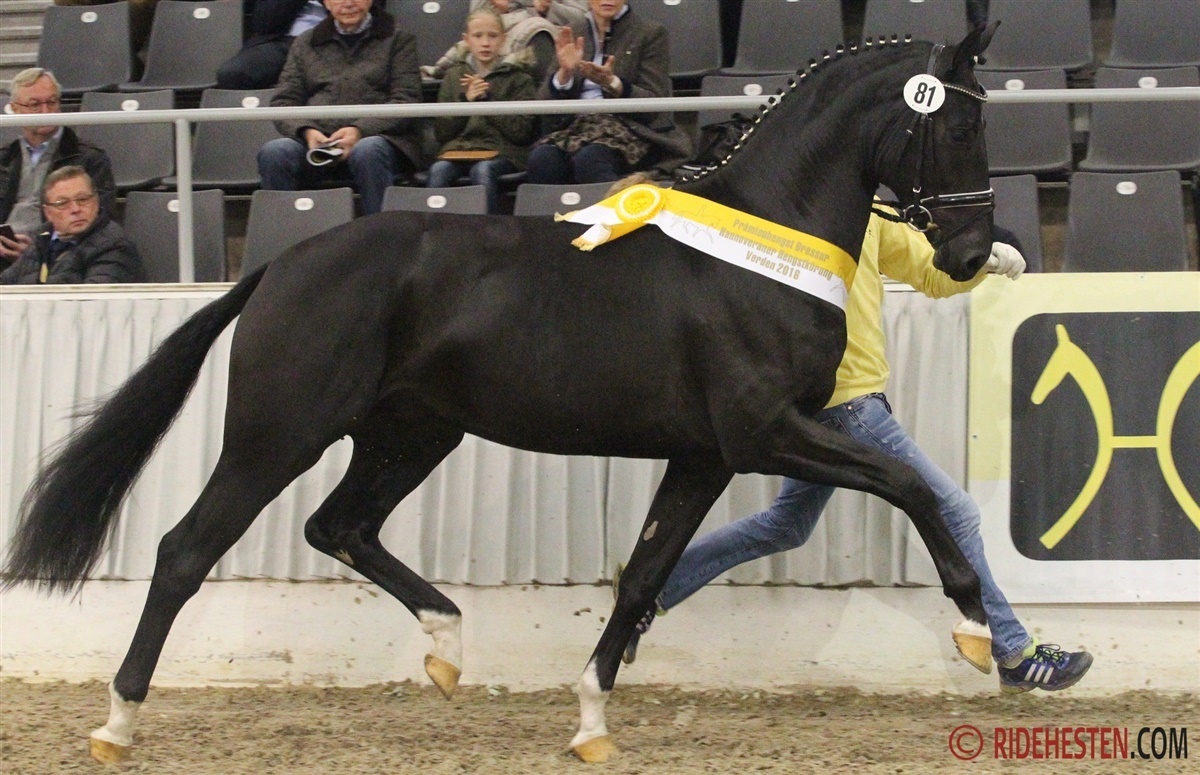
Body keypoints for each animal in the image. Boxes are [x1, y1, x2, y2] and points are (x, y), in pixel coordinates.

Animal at [4, 25, 998, 764]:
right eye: (955, 130)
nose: (971, 254)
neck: (762, 249)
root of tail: (282, 263)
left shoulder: (705, 453)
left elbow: (644, 572)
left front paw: (591, 719)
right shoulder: (762, 432)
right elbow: (910, 484)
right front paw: (976, 630)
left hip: (410, 435)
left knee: (339, 526)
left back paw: (446, 645)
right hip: (276, 434)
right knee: (186, 550)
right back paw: (116, 723)